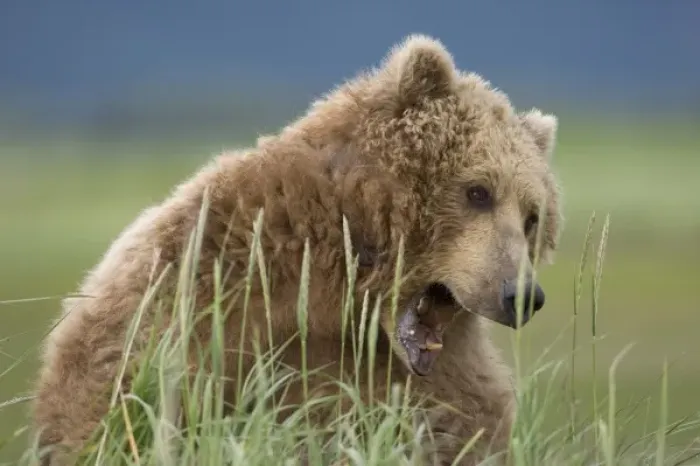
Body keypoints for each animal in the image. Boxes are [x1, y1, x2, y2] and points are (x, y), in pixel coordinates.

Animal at [30, 34, 562, 466]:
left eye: (532, 216)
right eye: (478, 191)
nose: (521, 295)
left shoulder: (431, 376)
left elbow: (467, 426)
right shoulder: (206, 292)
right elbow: (125, 402)